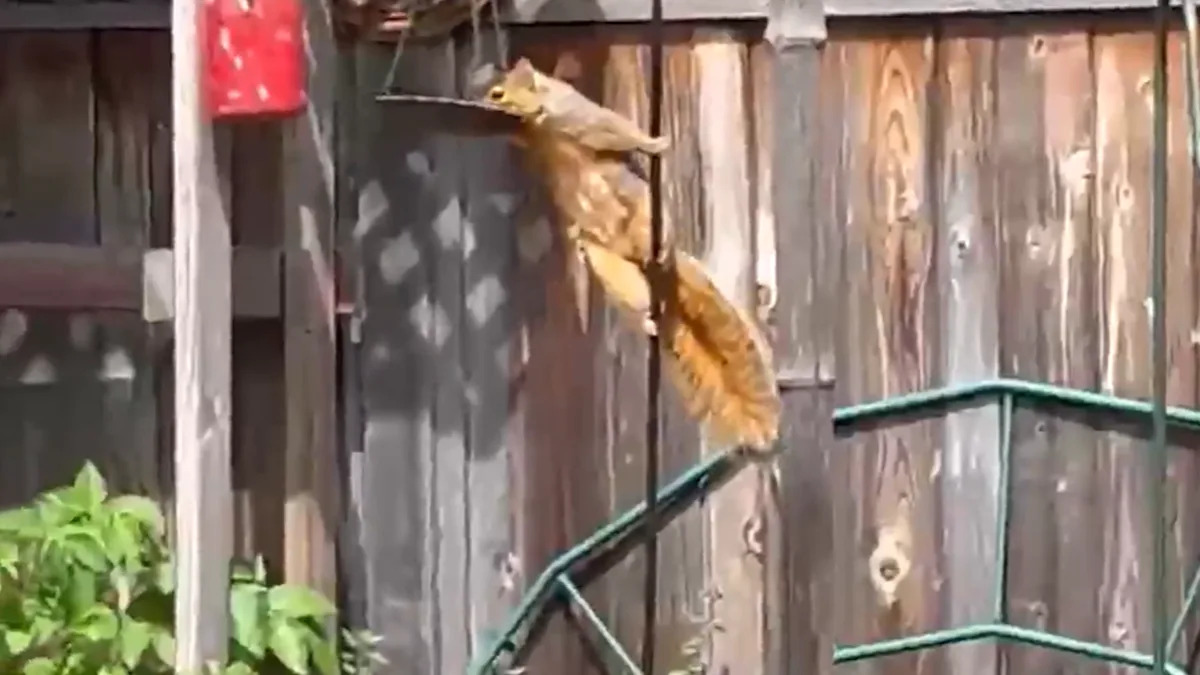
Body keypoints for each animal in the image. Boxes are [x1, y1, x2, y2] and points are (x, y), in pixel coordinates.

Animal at [480, 58, 781, 453]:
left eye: (498, 93)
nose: (481, 106)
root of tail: (657, 271)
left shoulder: (579, 116)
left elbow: (614, 130)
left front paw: (654, 144)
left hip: (642, 210)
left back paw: (660, 249)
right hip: (613, 268)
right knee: (633, 292)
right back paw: (646, 318)